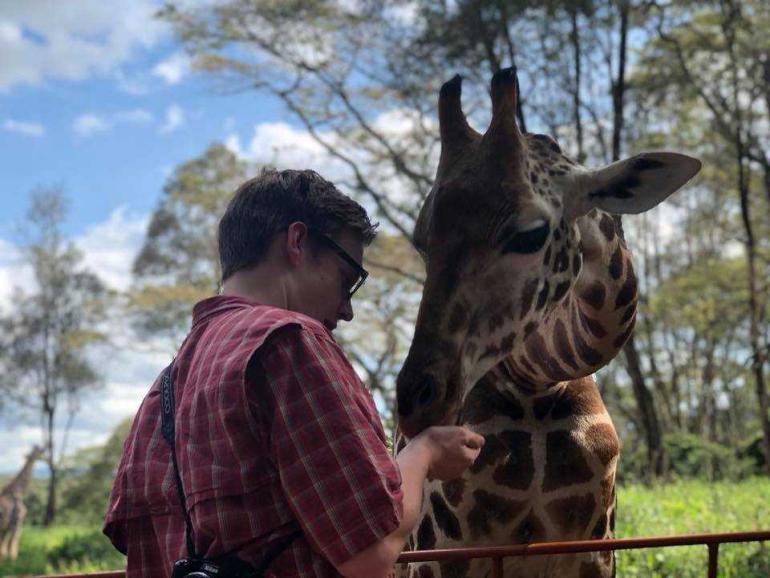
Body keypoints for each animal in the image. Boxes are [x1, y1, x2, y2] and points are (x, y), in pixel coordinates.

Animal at [394, 67, 700, 578]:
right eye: (421, 240)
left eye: (529, 234)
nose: (417, 402)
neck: (537, 385)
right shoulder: (442, 553)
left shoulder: (596, 548)